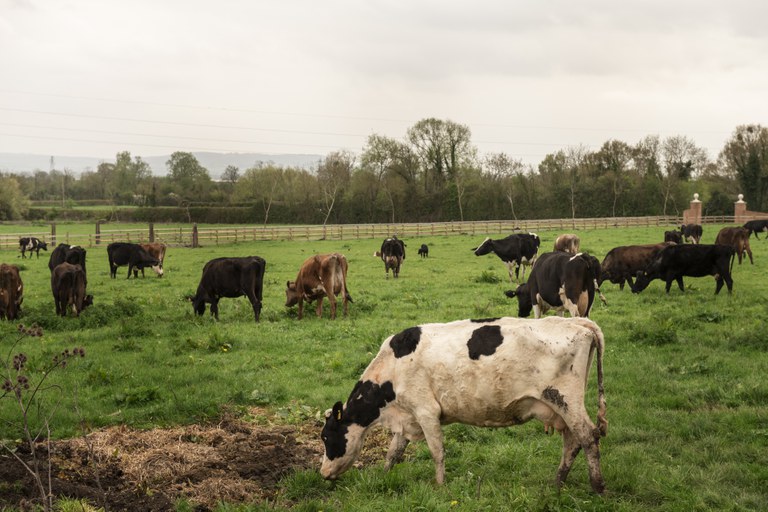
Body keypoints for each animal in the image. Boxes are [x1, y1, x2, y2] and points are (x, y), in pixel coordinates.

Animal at [320, 316, 607, 493]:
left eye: (325, 437)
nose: (322, 473)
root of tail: (576, 321)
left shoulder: (426, 410)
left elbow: (437, 451)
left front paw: (440, 485)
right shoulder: (407, 417)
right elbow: (394, 452)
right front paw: (383, 475)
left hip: (566, 399)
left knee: (588, 436)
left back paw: (597, 486)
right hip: (562, 408)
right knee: (572, 441)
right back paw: (558, 483)